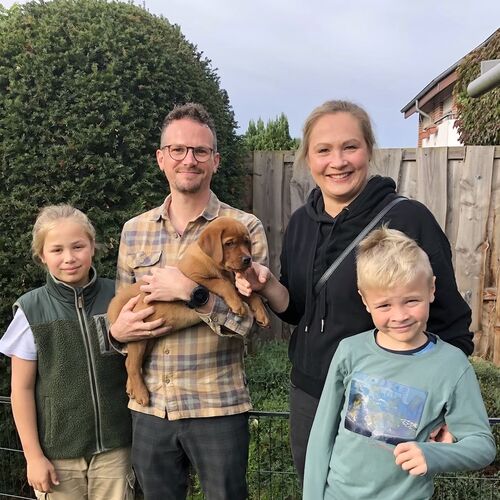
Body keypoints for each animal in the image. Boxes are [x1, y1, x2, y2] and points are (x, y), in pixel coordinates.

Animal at [108, 216, 270, 406]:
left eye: (246, 242)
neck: (216, 265)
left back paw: (131, 388)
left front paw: (261, 313)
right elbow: (223, 284)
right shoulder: (196, 278)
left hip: (149, 340)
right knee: (131, 364)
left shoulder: (232, 281)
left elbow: (251, 294)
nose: (247, 259)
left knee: (133, 362)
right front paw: (238, 305)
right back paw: (141, 393)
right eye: (229, 243)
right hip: (138, 337)